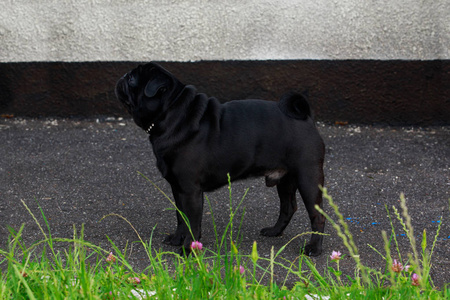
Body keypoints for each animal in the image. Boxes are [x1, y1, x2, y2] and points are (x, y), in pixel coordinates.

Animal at [115, 62, 326, 255]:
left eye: (132, 79)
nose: (122, 76)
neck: (172, 113)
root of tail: (306, 117)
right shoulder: (178, 188)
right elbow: (181, 217)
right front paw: (177, 239)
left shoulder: (190, 191)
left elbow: (192, 222)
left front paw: (188, 250)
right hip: (285, 179)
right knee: (288, 207)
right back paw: (275, 231)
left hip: (308, 177)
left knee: (318, 216)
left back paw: (314, 248)